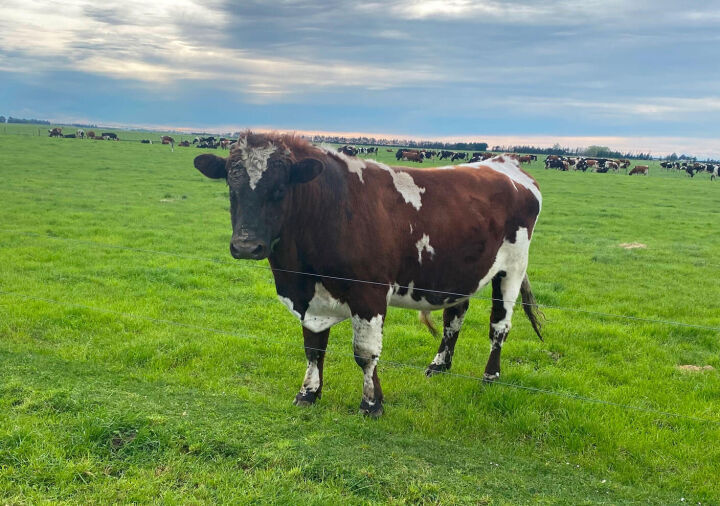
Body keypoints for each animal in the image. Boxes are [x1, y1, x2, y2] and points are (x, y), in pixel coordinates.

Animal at [192, 132, 543, 416]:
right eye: (231, 187)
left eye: (280, 189)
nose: (246, 246)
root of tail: (506, 163)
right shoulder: (310, 298)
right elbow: (314, 347)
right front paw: (308, 393)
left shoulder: (369, 292)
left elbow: (365, 353)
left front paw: (372, 403)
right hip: (460, 274)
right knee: (453, 319)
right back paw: (438, 366)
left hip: (511, 269)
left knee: (499, 326)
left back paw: (490, 376)